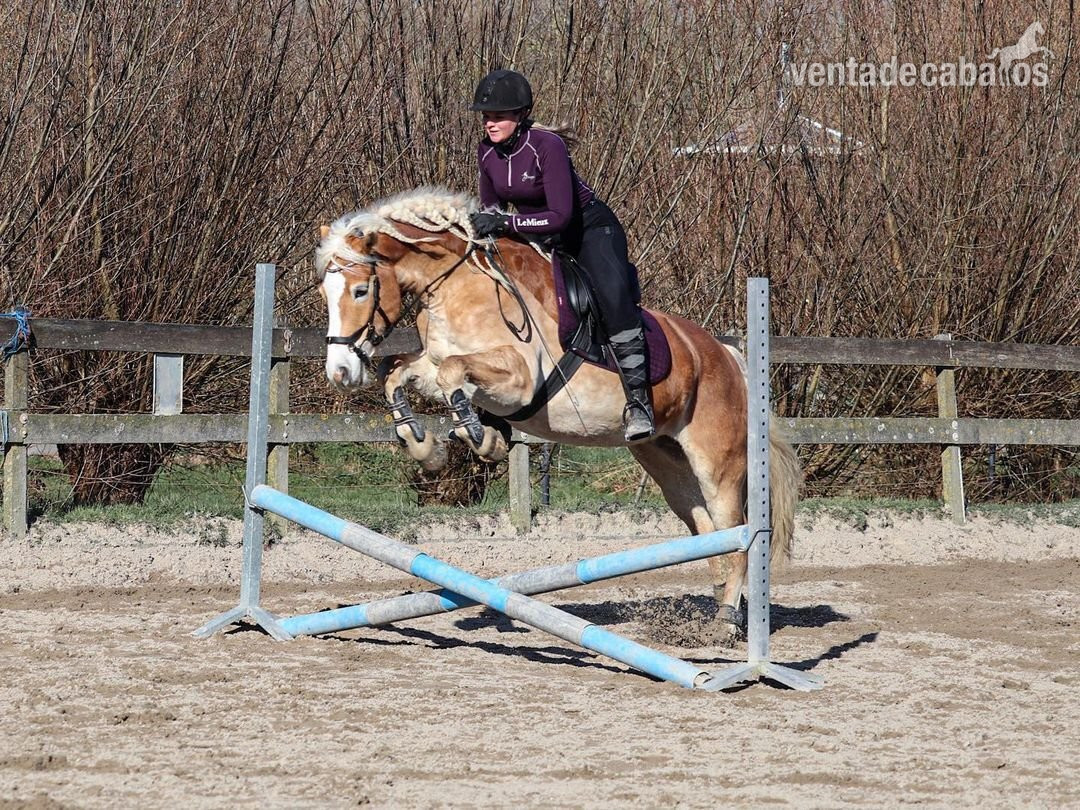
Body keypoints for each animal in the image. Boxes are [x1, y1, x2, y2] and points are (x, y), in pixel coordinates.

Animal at [314, 187, 801, 642]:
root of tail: (727, 355)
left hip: (718, 465)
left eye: (361, 290)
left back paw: (725, 621)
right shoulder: (432, 364)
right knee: (706, 529)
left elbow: (454, 373)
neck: (455, 286)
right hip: (665, 460)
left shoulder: (518, 378)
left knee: (735, 531)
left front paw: (481, 438)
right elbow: (396, 373)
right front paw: (424, 446)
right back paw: (719, 612)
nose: (340, 373)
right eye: (325, 293)